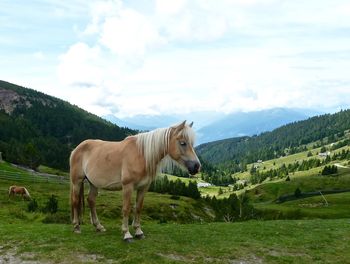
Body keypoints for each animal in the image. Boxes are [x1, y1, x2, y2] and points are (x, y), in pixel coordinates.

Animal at [69, 120, 201, 242]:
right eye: (183, 143)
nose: (196, 166)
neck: (141, 155)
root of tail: (77, 149)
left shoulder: (143, 187)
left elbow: (138, 207)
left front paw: (138, 231)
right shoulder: (128, 186)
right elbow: (126, 208)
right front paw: (126, 234)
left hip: (93, 183)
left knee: (91, 200)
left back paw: (99, 226)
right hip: (77, 181)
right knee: (75, 201)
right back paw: (76, 227)